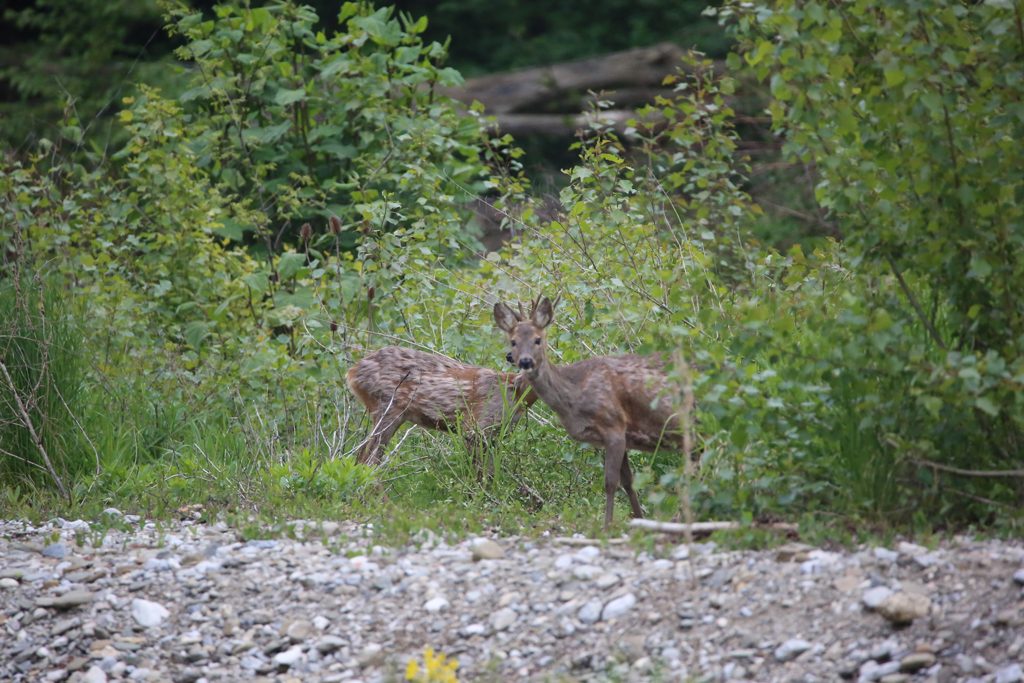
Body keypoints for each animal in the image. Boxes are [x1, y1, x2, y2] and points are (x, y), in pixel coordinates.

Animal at [346, 348, 536, 475]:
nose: (510, 355)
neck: (517, 393)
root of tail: (353, 372)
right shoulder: (477, 425)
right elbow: (478, 473)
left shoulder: (497, 434)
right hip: (387, 407)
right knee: (368, 462)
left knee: (361, 457)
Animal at [493, 296, 684, 528]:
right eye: (513, 341)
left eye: (538, 339)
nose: (524, 361)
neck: (575, 396)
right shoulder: (620, 436)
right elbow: (628, 482)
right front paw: (639, 520)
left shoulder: (614, 426)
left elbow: (611, 482)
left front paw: (607, 526)